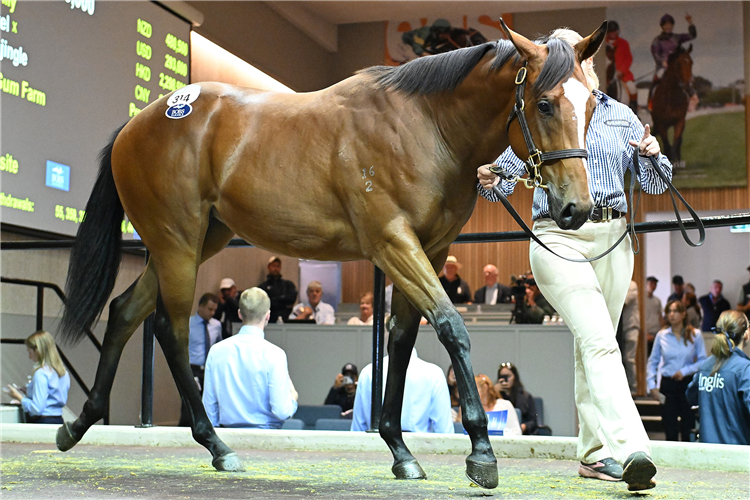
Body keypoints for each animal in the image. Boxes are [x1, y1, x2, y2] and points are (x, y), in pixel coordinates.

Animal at [55, 21, 608, 490]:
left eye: (591, 106)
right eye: (544, 104)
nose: (577, 207)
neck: (425, 125)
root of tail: (136, 124)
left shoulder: (429, 250)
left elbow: (402, 340)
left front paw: (401, 451)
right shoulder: (393, 242)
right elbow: (451, 326)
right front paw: (480, 454)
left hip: (194, 242)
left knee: (125, 311)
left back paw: (80, 423)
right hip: (176, 243)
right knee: (168, 329)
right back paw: (216, 445)